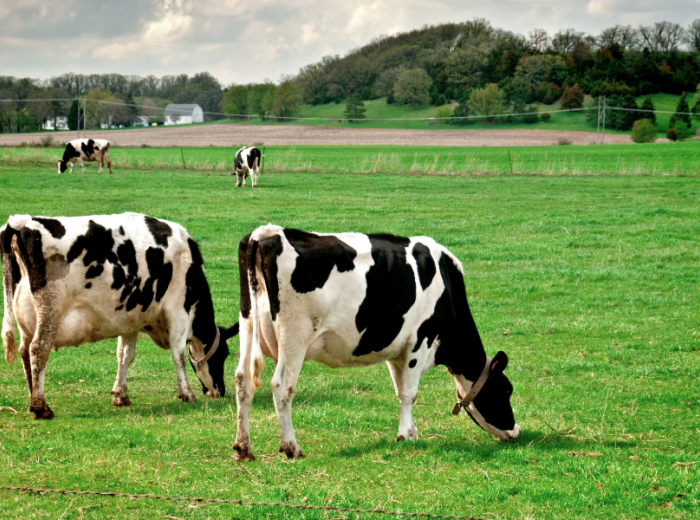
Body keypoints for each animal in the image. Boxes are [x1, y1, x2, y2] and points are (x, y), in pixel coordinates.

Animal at [1, 213, 237, 420]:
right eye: (223, 354)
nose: (220, 390)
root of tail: (21, 222)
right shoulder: (178, 311)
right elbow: (178, 355)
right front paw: (187, 394)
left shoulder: (129, 320)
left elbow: (125, 355)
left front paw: (120, 395)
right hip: (51, 310)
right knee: (38, 350)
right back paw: (41, 407)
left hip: (26, 317)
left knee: (24, 351)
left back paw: (32, 401)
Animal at [233, 225, 519, 461]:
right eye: (506, 390)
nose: (515, 430)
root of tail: (266, 233)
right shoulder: (421, 339)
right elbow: (410, 392)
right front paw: (406, 435)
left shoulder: (397, 349)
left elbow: (400, 389)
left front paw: (408, 431)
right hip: (295, 336)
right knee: (282, 386)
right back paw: (292, 447)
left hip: (247, 323)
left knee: (243, 380)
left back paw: (243, 448)